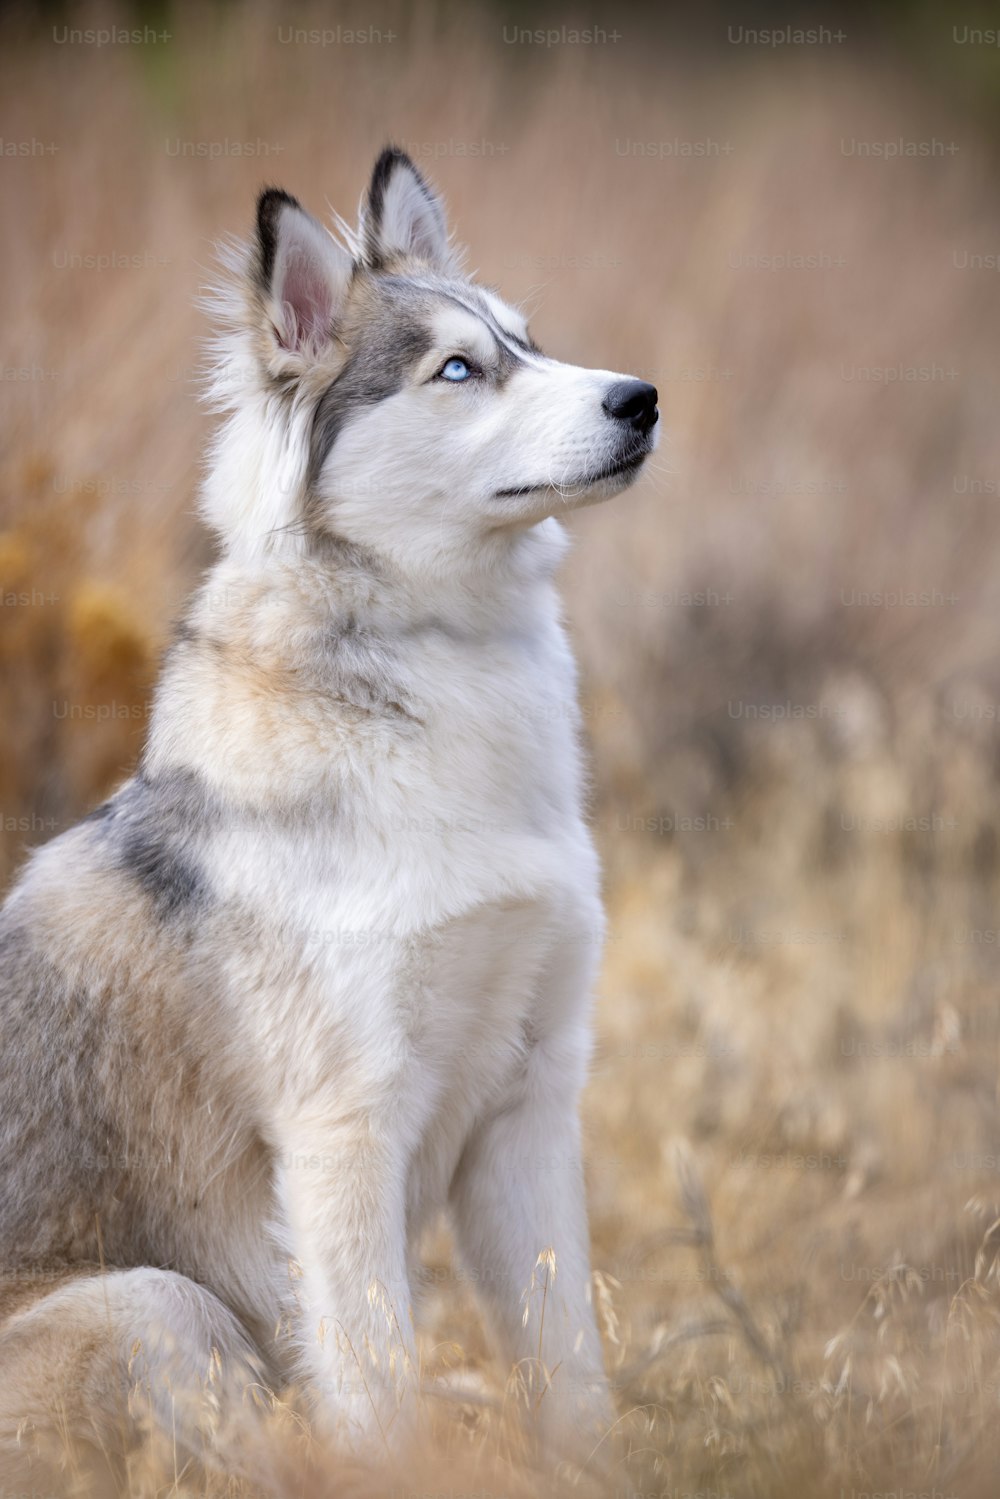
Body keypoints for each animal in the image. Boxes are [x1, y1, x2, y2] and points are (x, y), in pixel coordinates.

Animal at [0, 146, 656, 1481]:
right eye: (456, 369)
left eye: (530, 341)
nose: (641, 400)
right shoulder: (344, 1131)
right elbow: (376, 1389)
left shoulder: (528, 1103)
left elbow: (570, 1371)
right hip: (161, 1302)